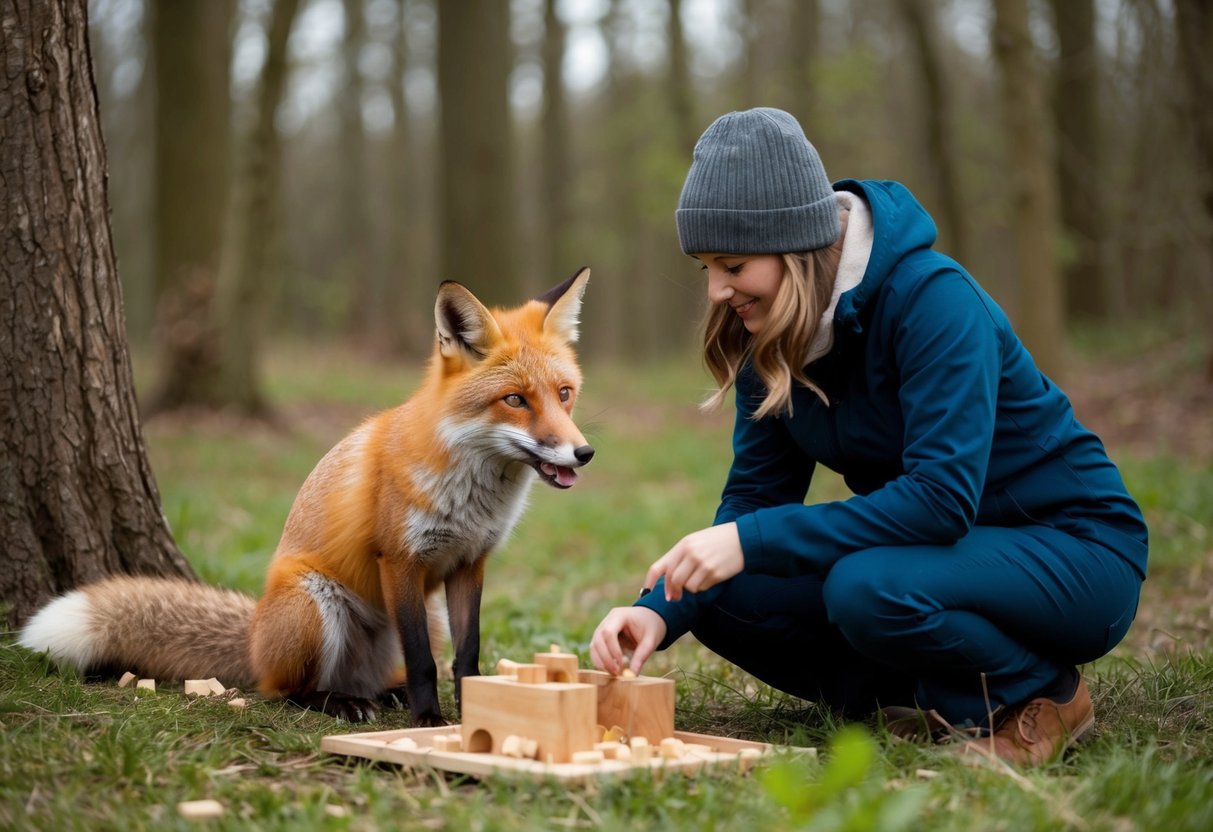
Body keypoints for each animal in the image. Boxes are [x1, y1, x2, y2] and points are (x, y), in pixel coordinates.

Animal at [18, 269, 594, 725]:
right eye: (515, 400)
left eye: (564, 395)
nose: (583, 453)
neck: (472, 496)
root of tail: (254, 636)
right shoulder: (401, 560)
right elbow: (427, 664)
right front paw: (431, 722)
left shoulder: (469, 563)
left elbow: (466, 657)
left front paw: (473, 713)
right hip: (316, 606)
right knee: (284, 690)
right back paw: (340, 703)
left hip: (419, 618)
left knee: (376, 676)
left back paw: (385, 694)